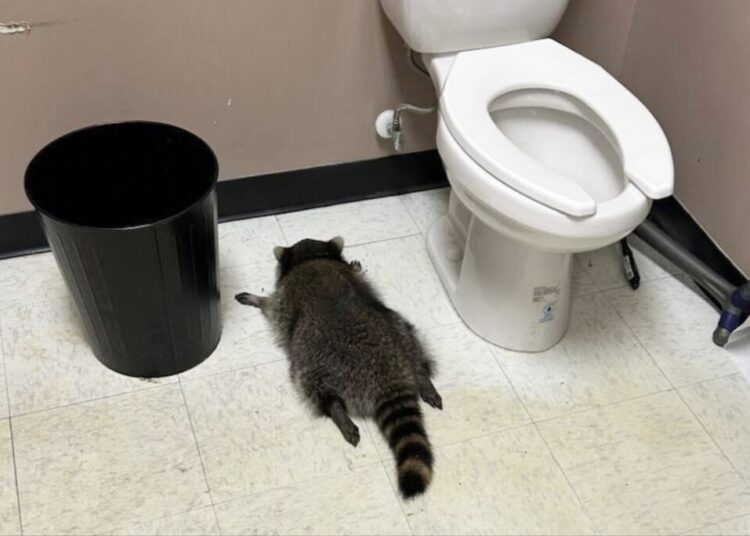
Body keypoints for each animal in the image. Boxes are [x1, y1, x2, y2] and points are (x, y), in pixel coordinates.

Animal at [235, 237, 442, 498]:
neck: (312, 258)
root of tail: (387, 376)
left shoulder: (284, 299)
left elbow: (272, 306)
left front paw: (257, 299)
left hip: (314, 359)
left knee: (313, 385)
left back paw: (336, 410)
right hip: (399, 329)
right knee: (413, 343)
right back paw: (423, 377)